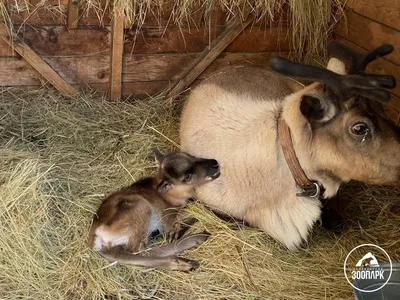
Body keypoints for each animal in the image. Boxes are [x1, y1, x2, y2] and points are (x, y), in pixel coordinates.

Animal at [87, 150, 220, 272]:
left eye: (191, 156)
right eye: (187, 176)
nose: (215, 163)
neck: (173, 195)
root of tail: (96, 237)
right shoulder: (168, 217)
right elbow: (198, 211)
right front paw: (176, 233)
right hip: (140, 208)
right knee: (139, 251)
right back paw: (187, 257)